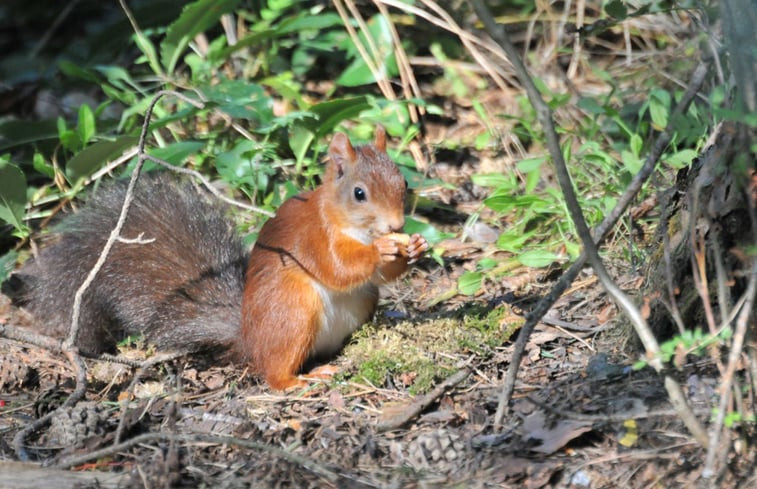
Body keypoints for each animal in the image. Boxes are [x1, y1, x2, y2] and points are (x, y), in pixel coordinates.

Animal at [7, 129, 426, 388]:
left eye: (404, 182)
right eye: (359, 193)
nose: (397, 225)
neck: (349, 225)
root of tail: (248, 338)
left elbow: (381, 276)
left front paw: (413, 246)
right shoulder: (311, 239)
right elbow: (337, 268)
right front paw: (383, 249)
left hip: (360, 304)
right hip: (293, 312)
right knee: (273, 371)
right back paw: (297, 381)